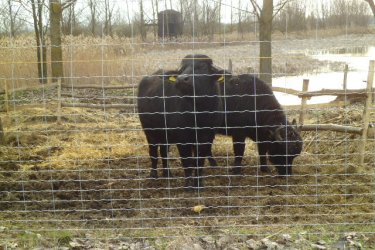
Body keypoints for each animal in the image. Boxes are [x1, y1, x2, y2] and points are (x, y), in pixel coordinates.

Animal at [137, 53, 223, 188]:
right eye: (182, 69)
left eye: (202, 67)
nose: (182, 79)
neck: (197, 113)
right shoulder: (182, 139)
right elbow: (187, 162)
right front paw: (188, 185)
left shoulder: (207, 137)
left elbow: (199, 162)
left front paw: (198, 183)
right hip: (149, 132)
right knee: (153, 152)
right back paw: (154, 174)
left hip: (165, 135)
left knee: (164, 152)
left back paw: (167, 174)